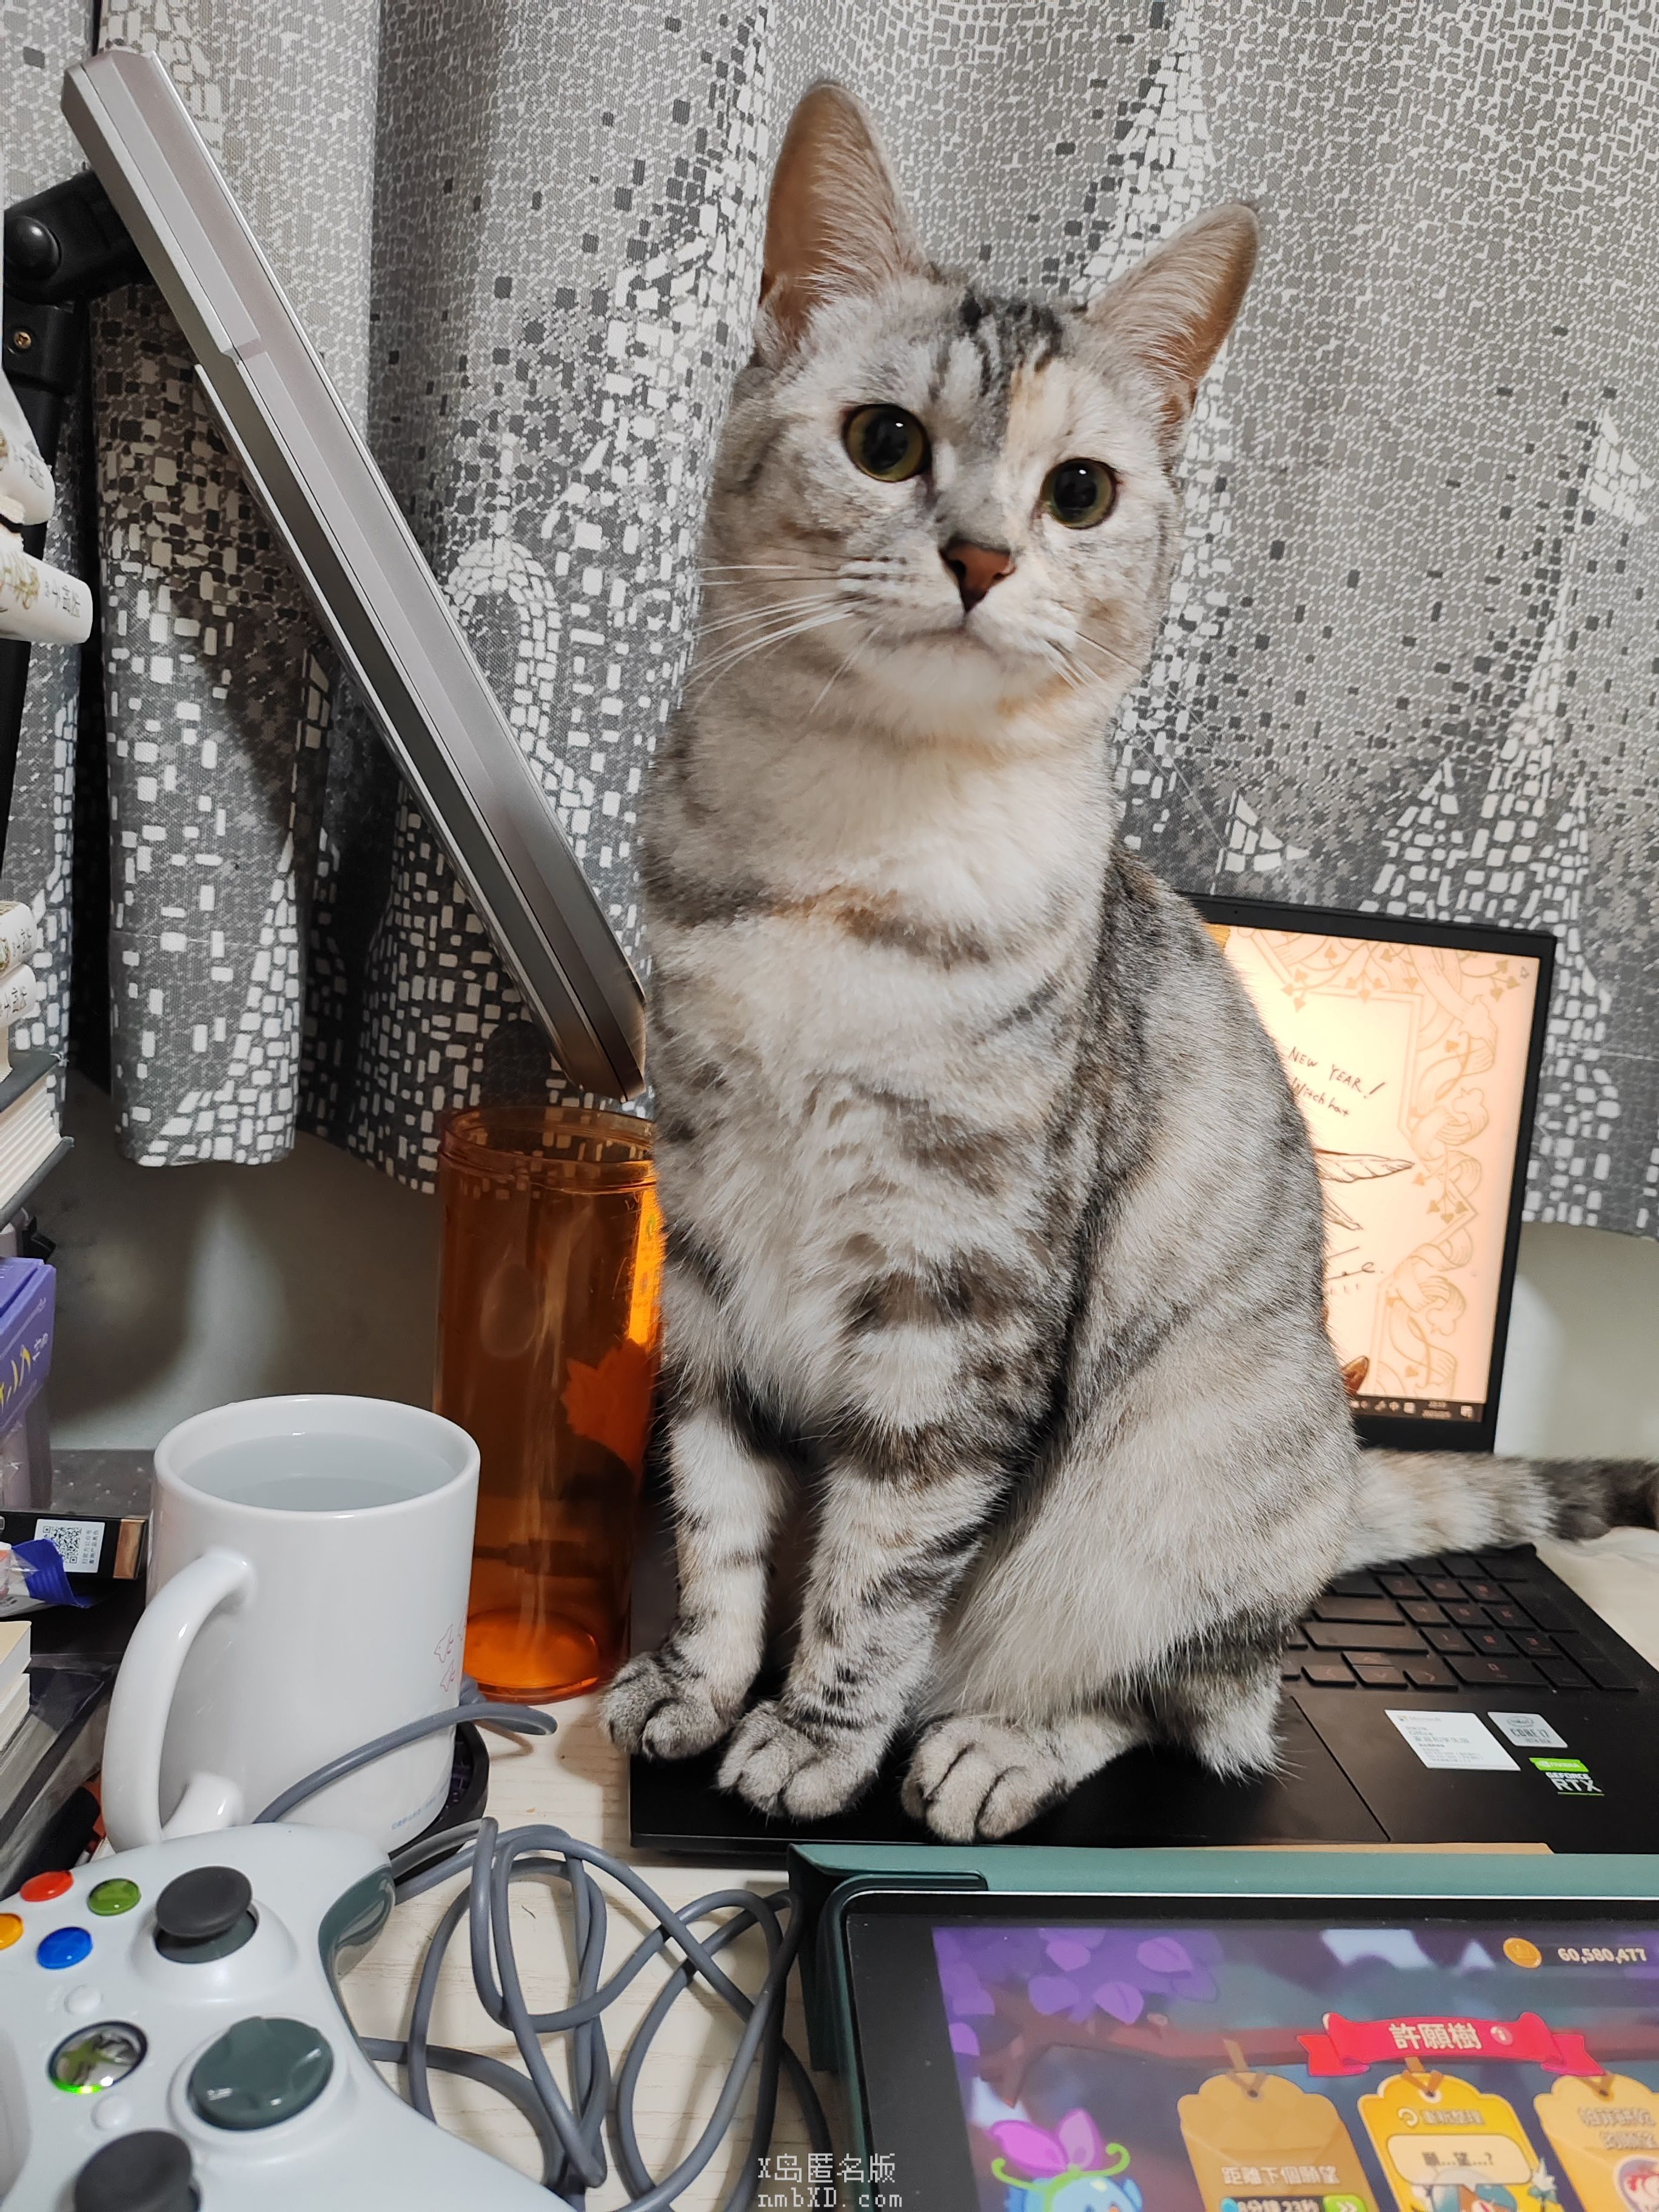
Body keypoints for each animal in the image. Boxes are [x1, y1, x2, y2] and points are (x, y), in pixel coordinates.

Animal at [602, 81, 1659, 1842]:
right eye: (884, 443)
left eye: (1079, 493)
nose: (979, 559)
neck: (845, 851)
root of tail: (1337, 1473)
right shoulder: (708, 1244)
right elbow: (722, 1519)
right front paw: (693, 1689)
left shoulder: (956, 1294)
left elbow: (879, 1566)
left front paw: (814, 1740)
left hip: (1158, 1501)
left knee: (1192, 1701)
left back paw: (990, 1750)